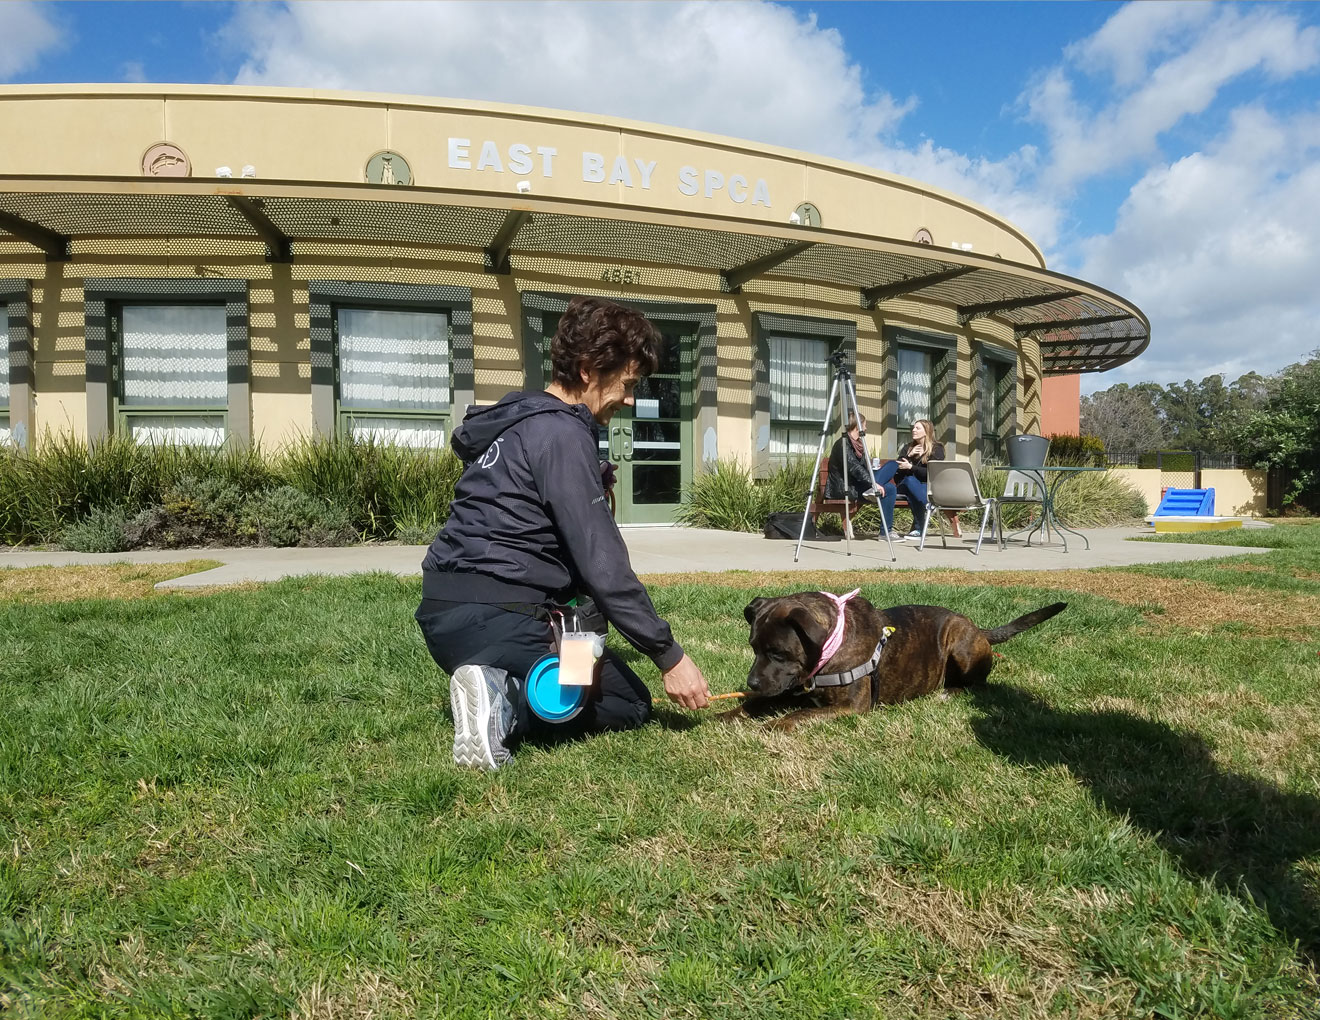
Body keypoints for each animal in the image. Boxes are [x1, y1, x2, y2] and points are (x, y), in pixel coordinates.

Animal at [728, 593, 1066, 728]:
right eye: (754, 648)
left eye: (778, 653)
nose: (751, 682)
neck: (829, 650)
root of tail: (976, 627)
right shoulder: (789, 689)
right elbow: (755, 704)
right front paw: (728, 714)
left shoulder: (852, 707)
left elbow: (799, 715)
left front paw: (774, 726)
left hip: (960, 643)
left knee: (978, 685)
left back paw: (948, 692)